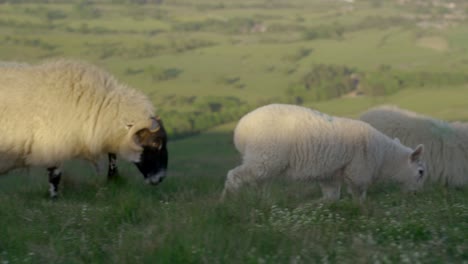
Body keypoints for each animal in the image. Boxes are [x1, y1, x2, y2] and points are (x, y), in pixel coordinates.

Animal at [0, 59, 168, 196]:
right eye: (155, 143)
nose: (160, 178)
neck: (97, 105)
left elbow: (112, 155)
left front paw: (113, 178)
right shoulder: (53, 143)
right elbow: (55, 175)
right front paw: (54, 198)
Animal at [221, 104, 426, 201]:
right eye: (421, 172)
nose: (417, 195)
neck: (385, 157)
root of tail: (241, 128)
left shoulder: (331, 174)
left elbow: (331, 197)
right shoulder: (357, 171)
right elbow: (359, 196)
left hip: (262, 159)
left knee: (258, 183)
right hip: (265, 156)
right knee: (234, 176)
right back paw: (228, 201)